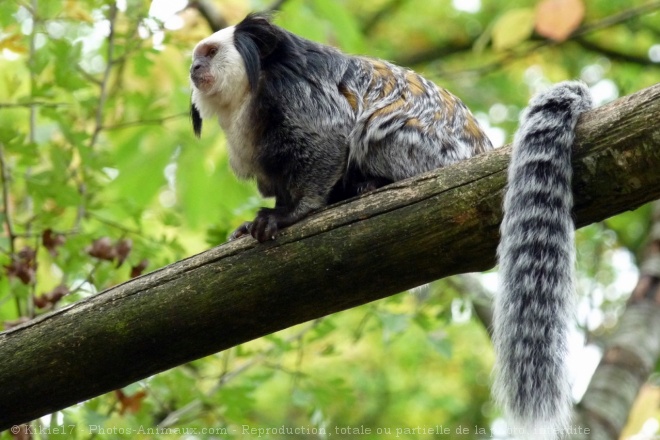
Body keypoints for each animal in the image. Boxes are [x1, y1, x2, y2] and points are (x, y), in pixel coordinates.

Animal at [189, 12, 592, 438]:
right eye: (196, 57)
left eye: (210, 52)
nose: (195, 68)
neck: (251, 92)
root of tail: (480, 153)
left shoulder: (297, 92)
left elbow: (329, 137)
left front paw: (292, 213)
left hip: (425, 151)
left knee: (374, 125)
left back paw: (370, 184)